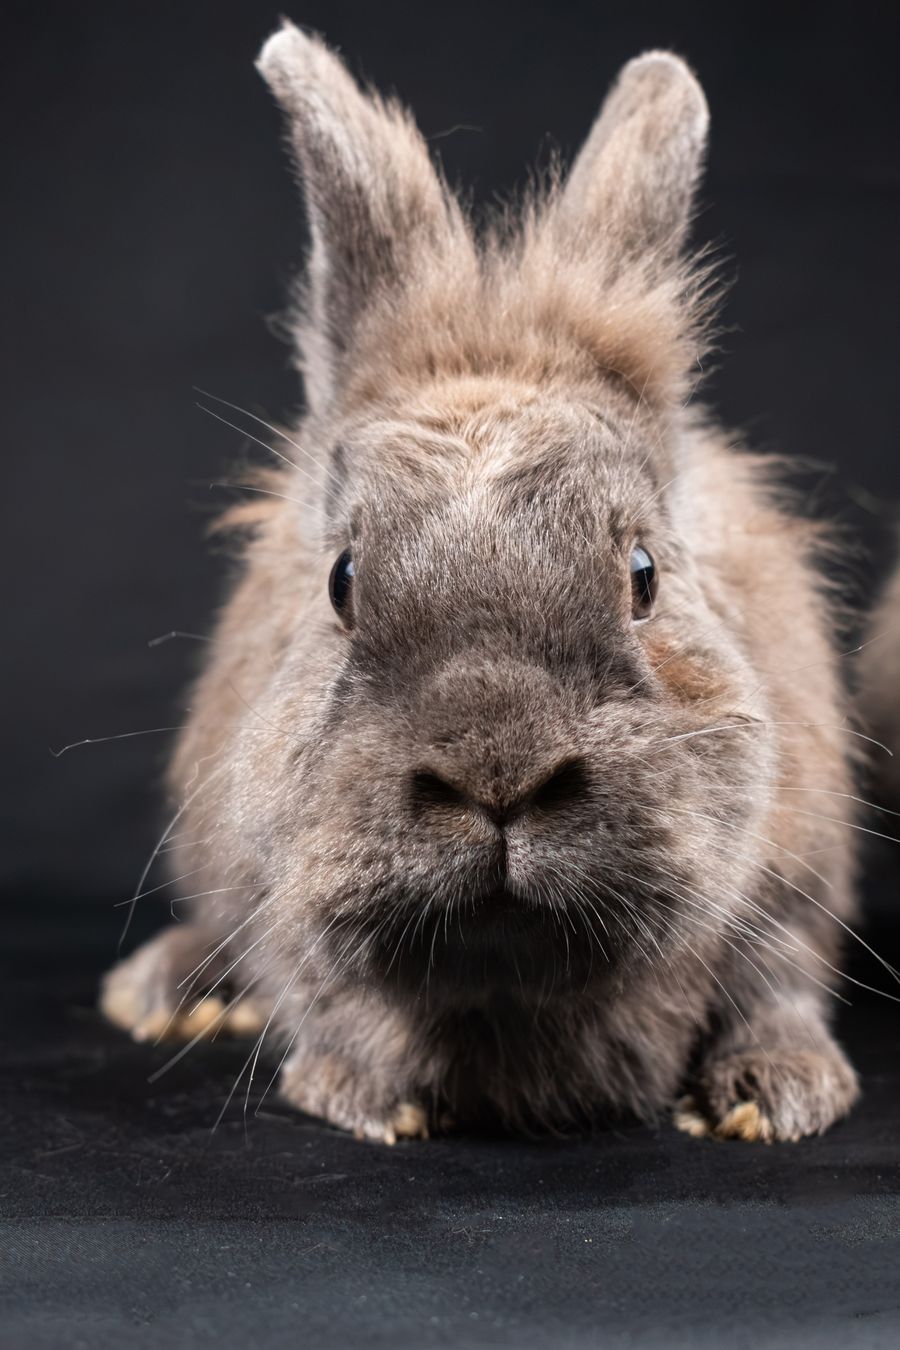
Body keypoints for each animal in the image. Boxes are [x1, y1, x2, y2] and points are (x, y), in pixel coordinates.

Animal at [101, 21, 864, 1145]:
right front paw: (361, 1093)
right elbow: (319, 987)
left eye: (643, 575)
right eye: (341, 581)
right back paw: (163, 990)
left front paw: (781, 1091)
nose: (498, 776)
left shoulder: (795, 876)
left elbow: (781, 980)